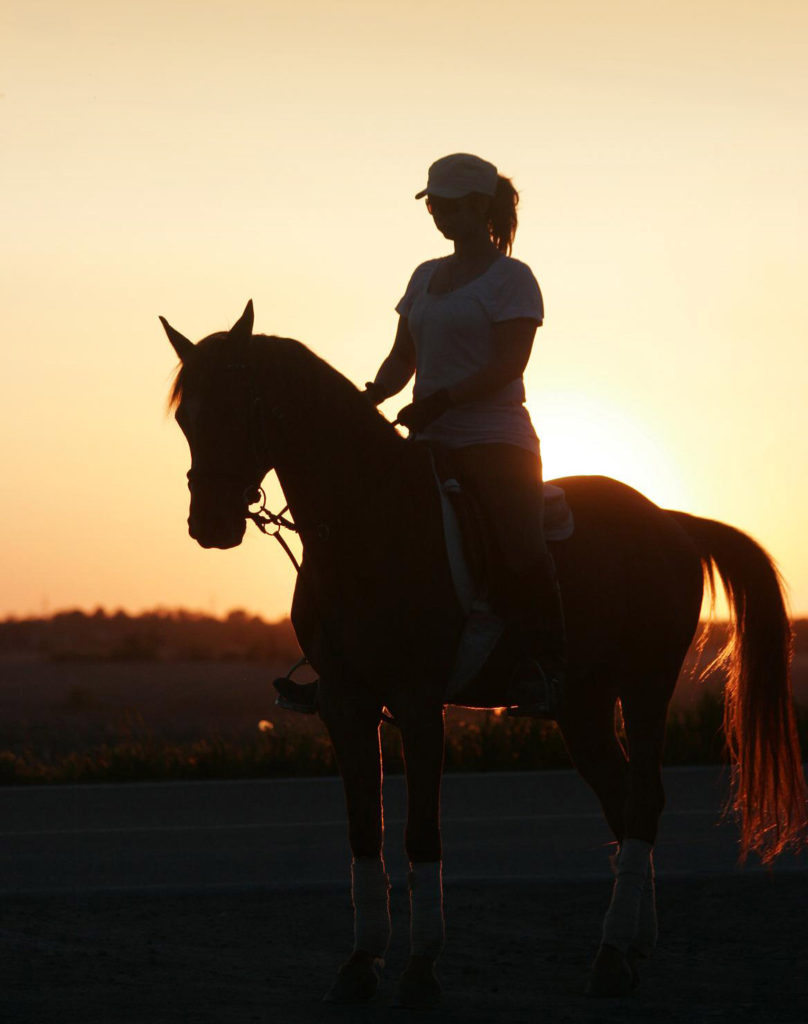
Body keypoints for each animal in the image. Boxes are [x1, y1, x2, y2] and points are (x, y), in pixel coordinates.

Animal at [160, 303, 802, 1007]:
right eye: (186, 419)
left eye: (235, 407)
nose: (209, 525)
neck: (365, 520)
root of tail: (671, 520)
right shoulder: (346, 704)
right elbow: (364, 832)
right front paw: (360, 963)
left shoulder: (417, 704)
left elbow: (420, 832)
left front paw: (420, 968)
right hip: (582, 705)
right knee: (623, 797)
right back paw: (630, 947)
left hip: (646, 687)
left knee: (643, 801)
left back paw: (612, 954)